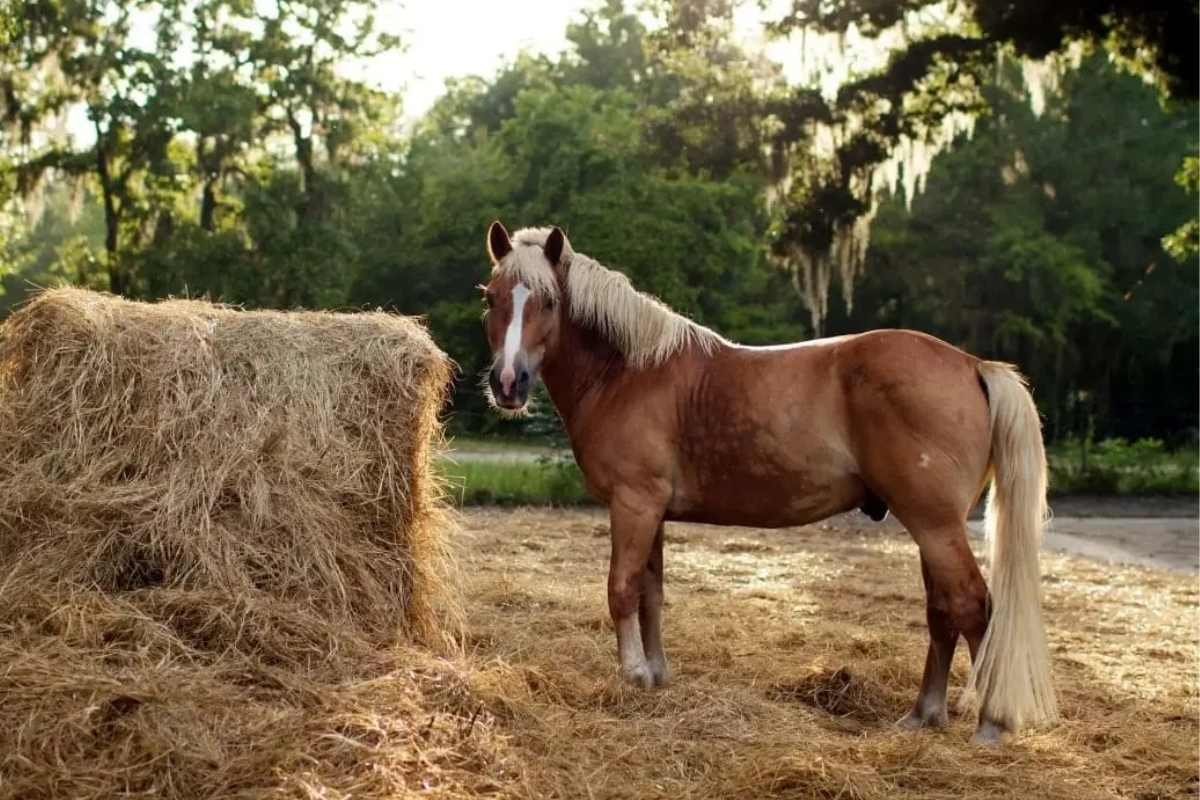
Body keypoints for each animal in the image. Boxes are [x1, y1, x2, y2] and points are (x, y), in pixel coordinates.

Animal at [478, 221, 1058, 744]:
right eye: (491, 300)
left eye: (549, 302)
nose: (508, 383)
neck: (628, 372)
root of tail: (973, 365)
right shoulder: (652, 512)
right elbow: (651, 593)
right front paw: (658, 674)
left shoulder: (633, 504)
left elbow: (621, 589)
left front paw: (634, 674)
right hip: (932, 526)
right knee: (943, 611)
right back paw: (923, 715)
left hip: (935, 524)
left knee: (973, 605)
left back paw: (989, 725)